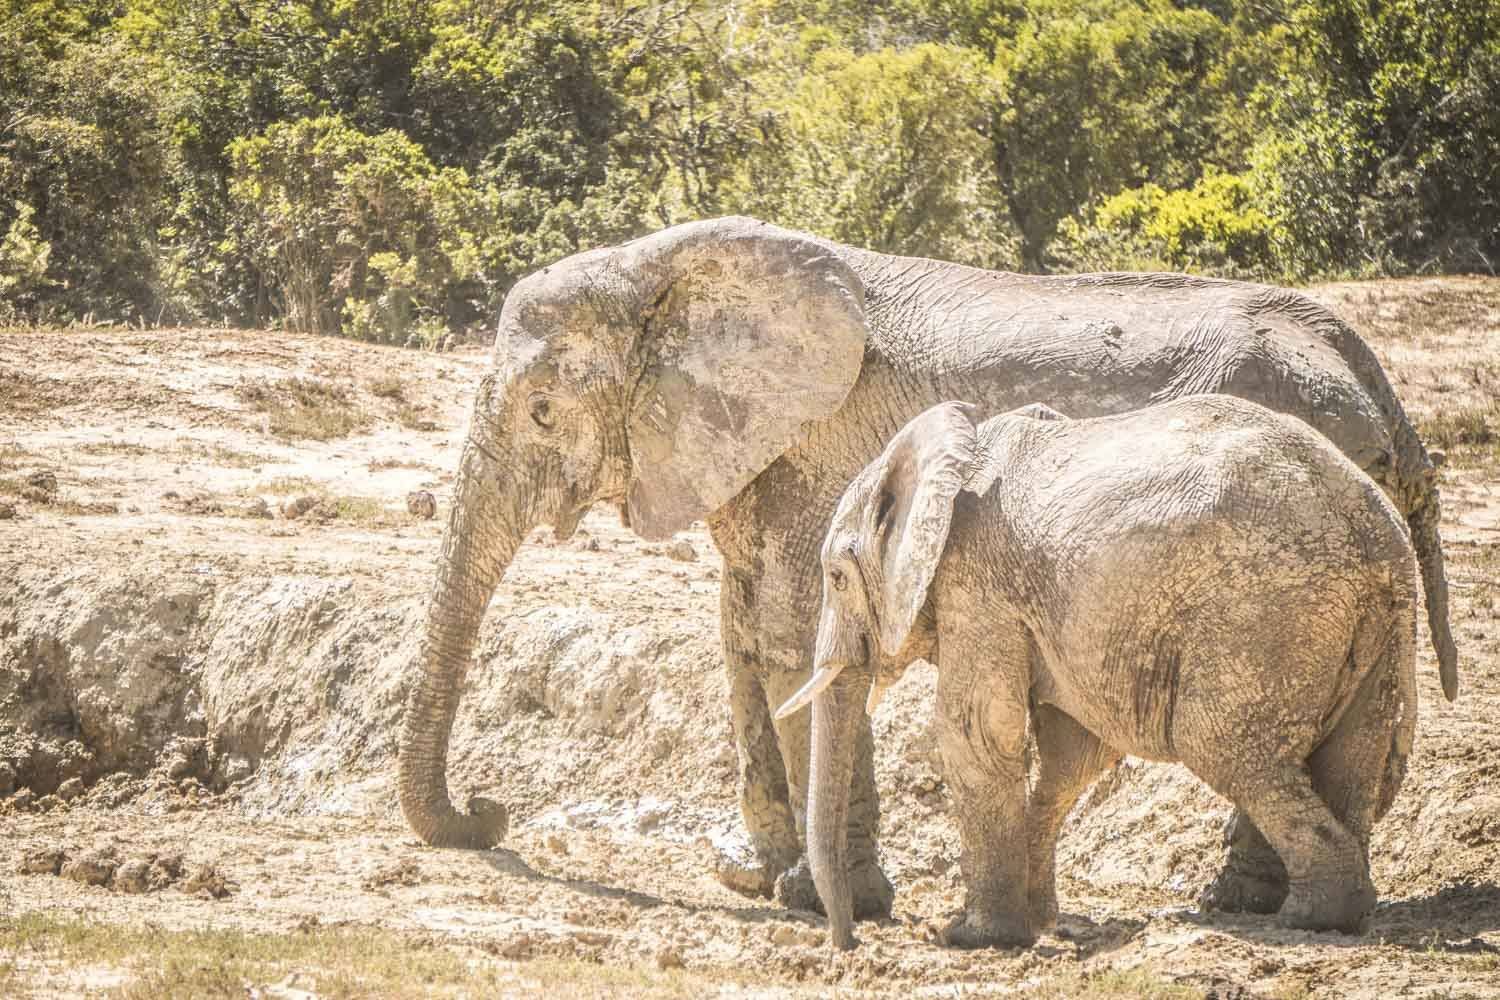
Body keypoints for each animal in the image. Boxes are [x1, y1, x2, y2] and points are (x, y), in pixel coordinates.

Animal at [780, 395, 1422, 953]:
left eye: (836, 578)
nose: (846, 944)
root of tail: (1378, 530)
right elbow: (1072, 747)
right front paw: (1037, 921)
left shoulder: (976, 582)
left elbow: (977, 730)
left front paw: (972, 938)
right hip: (1365, 624)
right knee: (1351, 754)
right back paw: (1333, 912)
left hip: (1266, 612)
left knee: (1218, 745)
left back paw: (1306, 918)